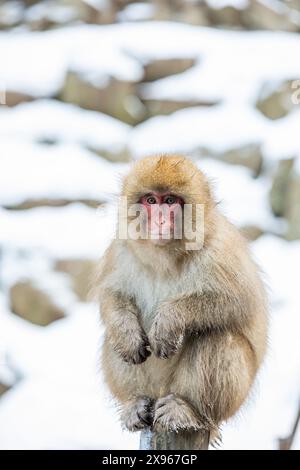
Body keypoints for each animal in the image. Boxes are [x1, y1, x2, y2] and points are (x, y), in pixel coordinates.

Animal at [97, 154, 268, 448]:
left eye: (170, 201)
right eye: (151, 200)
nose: (159, 222)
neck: (166, 255)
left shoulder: (219, 251)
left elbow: (239, 302)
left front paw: (169, 320)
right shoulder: (122, 248)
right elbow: (112, 294)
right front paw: (127, 333)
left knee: (218, 337)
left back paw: (189, 410)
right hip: (154, 388)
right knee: (114, 339)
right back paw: (135, 402)